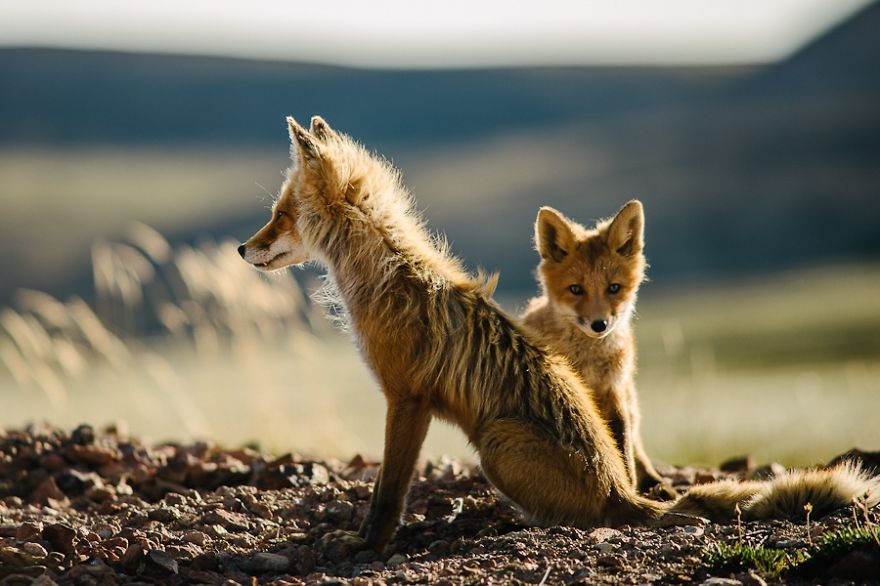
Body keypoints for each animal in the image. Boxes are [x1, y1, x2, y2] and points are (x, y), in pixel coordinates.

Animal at [521, 202, 668, 494]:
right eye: (576, 289)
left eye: (614, 288)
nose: (599, 325)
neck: (587, 361)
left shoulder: (614, 391)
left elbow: (622, 449)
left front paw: (628, 487)